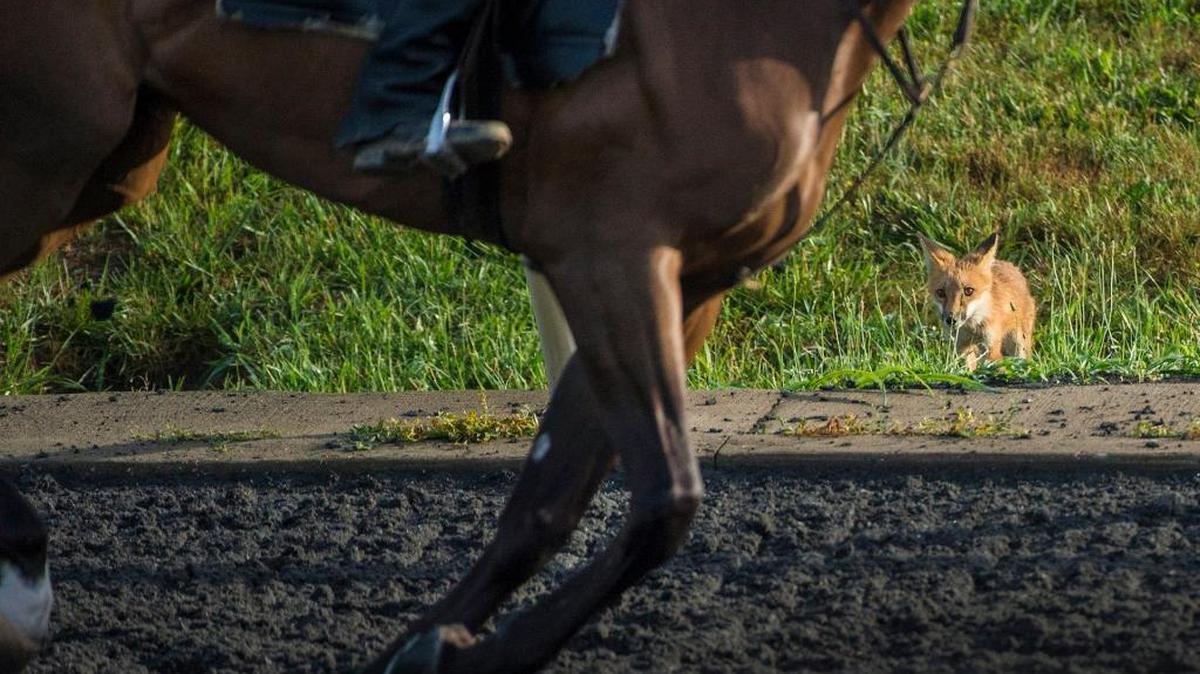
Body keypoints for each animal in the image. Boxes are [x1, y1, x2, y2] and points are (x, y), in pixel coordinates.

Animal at [1, 0, 928, 671]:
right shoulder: (609, 252)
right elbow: (664, 499)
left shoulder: (679, 277)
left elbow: (552, 502)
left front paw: (430, 645)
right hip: (50, 146)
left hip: (114, 157)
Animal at [918, 231, 1036, 371]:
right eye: (941, 293)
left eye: (968, 291)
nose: (951, 319)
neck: (972, 328)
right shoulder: (961, 347)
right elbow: (968, 370)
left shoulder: (991, 347)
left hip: (1018, 342)